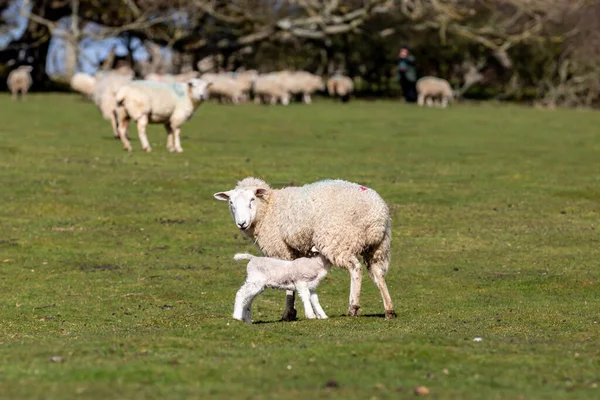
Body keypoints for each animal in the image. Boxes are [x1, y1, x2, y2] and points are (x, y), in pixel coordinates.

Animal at [213, 177, 396, 320]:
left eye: (252, 199)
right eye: (231, 202)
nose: (241, 223)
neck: (268, 208)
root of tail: (375, 213)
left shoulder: (281, 249)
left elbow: (287, 281)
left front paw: (288, 313)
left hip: (338, 239)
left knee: (355, 269)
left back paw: (353, 307)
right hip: (378, 246)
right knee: (378, 274)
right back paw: (389, 309)